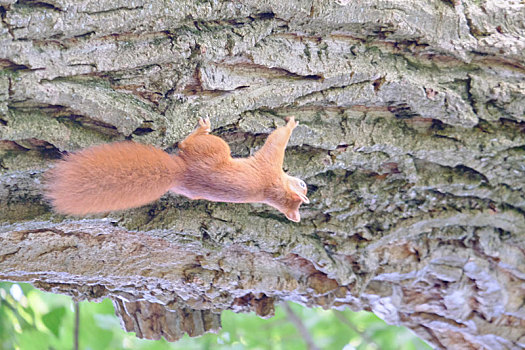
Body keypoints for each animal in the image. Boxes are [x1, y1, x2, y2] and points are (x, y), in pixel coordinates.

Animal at [45, 117, 310, 221]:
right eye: (303, 185)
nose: (305, 183)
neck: (276, 188)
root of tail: (180, 172)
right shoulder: (271, 166)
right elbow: (277, 140)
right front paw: (292, 124)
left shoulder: (270, 166)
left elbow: (277, 140)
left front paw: (290, 125)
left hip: (215, 148)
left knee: (184, 144)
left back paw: (200, 129)